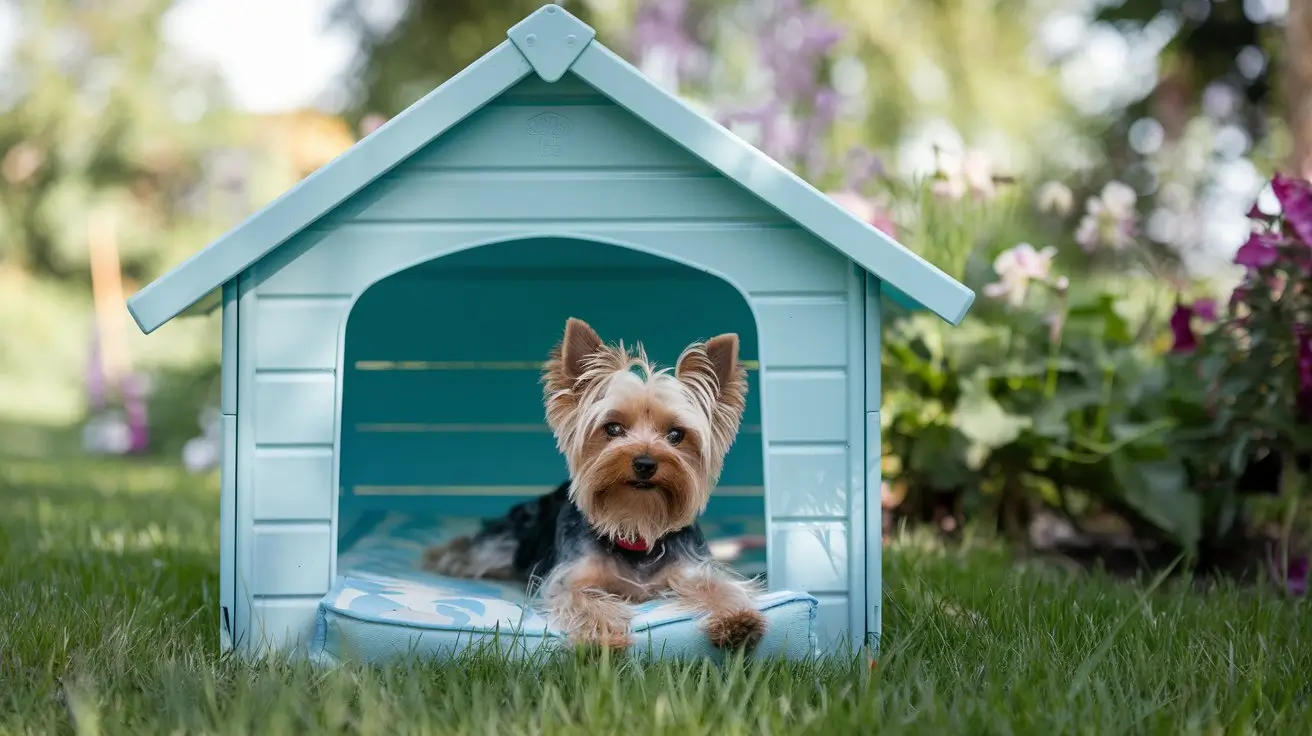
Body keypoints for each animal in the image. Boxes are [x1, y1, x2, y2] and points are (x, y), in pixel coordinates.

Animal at [425, 316, 766, 648]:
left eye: (676, 435)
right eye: (612, 428)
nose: (645, 463)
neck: (634, 526)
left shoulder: (690, 568)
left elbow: (718, 585)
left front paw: (737, 618)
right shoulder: (570, 577)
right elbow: (583, 597)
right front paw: (603, 636)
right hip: (502, 543)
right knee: (465, 554)